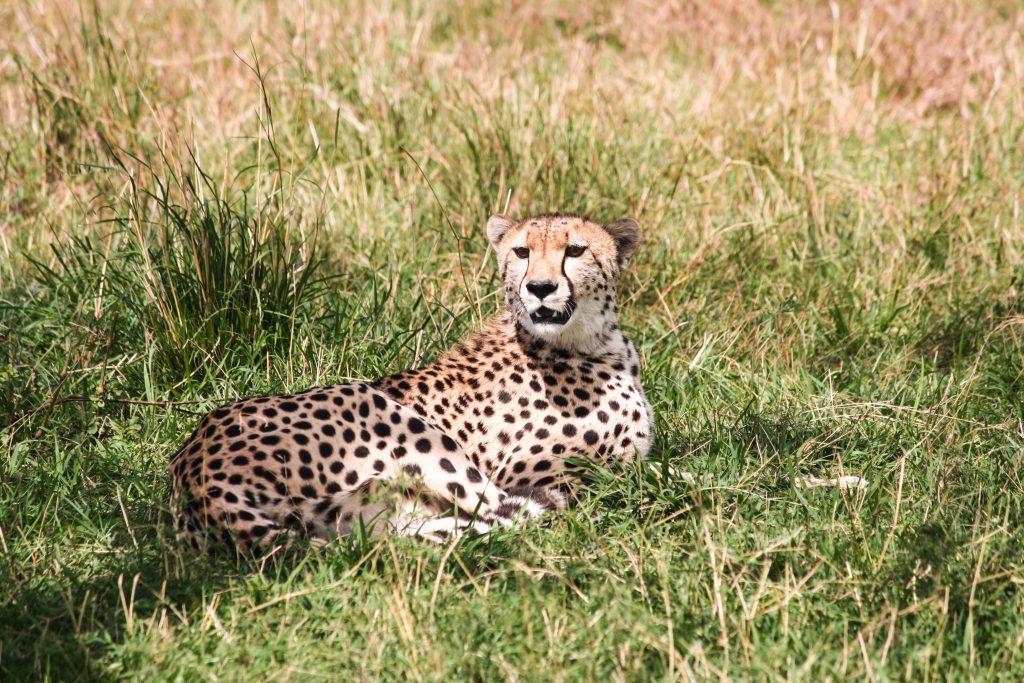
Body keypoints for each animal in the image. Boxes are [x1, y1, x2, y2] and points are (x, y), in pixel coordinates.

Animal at [166, 210, 647, 552]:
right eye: (522, 252)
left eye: (576, 251)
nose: (540, 288)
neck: (587, 340)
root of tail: (194, 472)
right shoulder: (529, 468)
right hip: (395, 419)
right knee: (493, 512)